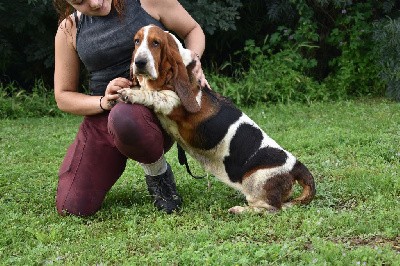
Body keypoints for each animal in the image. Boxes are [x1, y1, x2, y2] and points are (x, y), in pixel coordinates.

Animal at [119, 25, 316, 214]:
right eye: (137, 41)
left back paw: (239, 210)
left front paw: (130, 93)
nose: (139, 62)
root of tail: (296, 166)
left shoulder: (176, 104)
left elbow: (154, 95)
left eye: (156, 43)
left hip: (254, 181)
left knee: (272, 208)